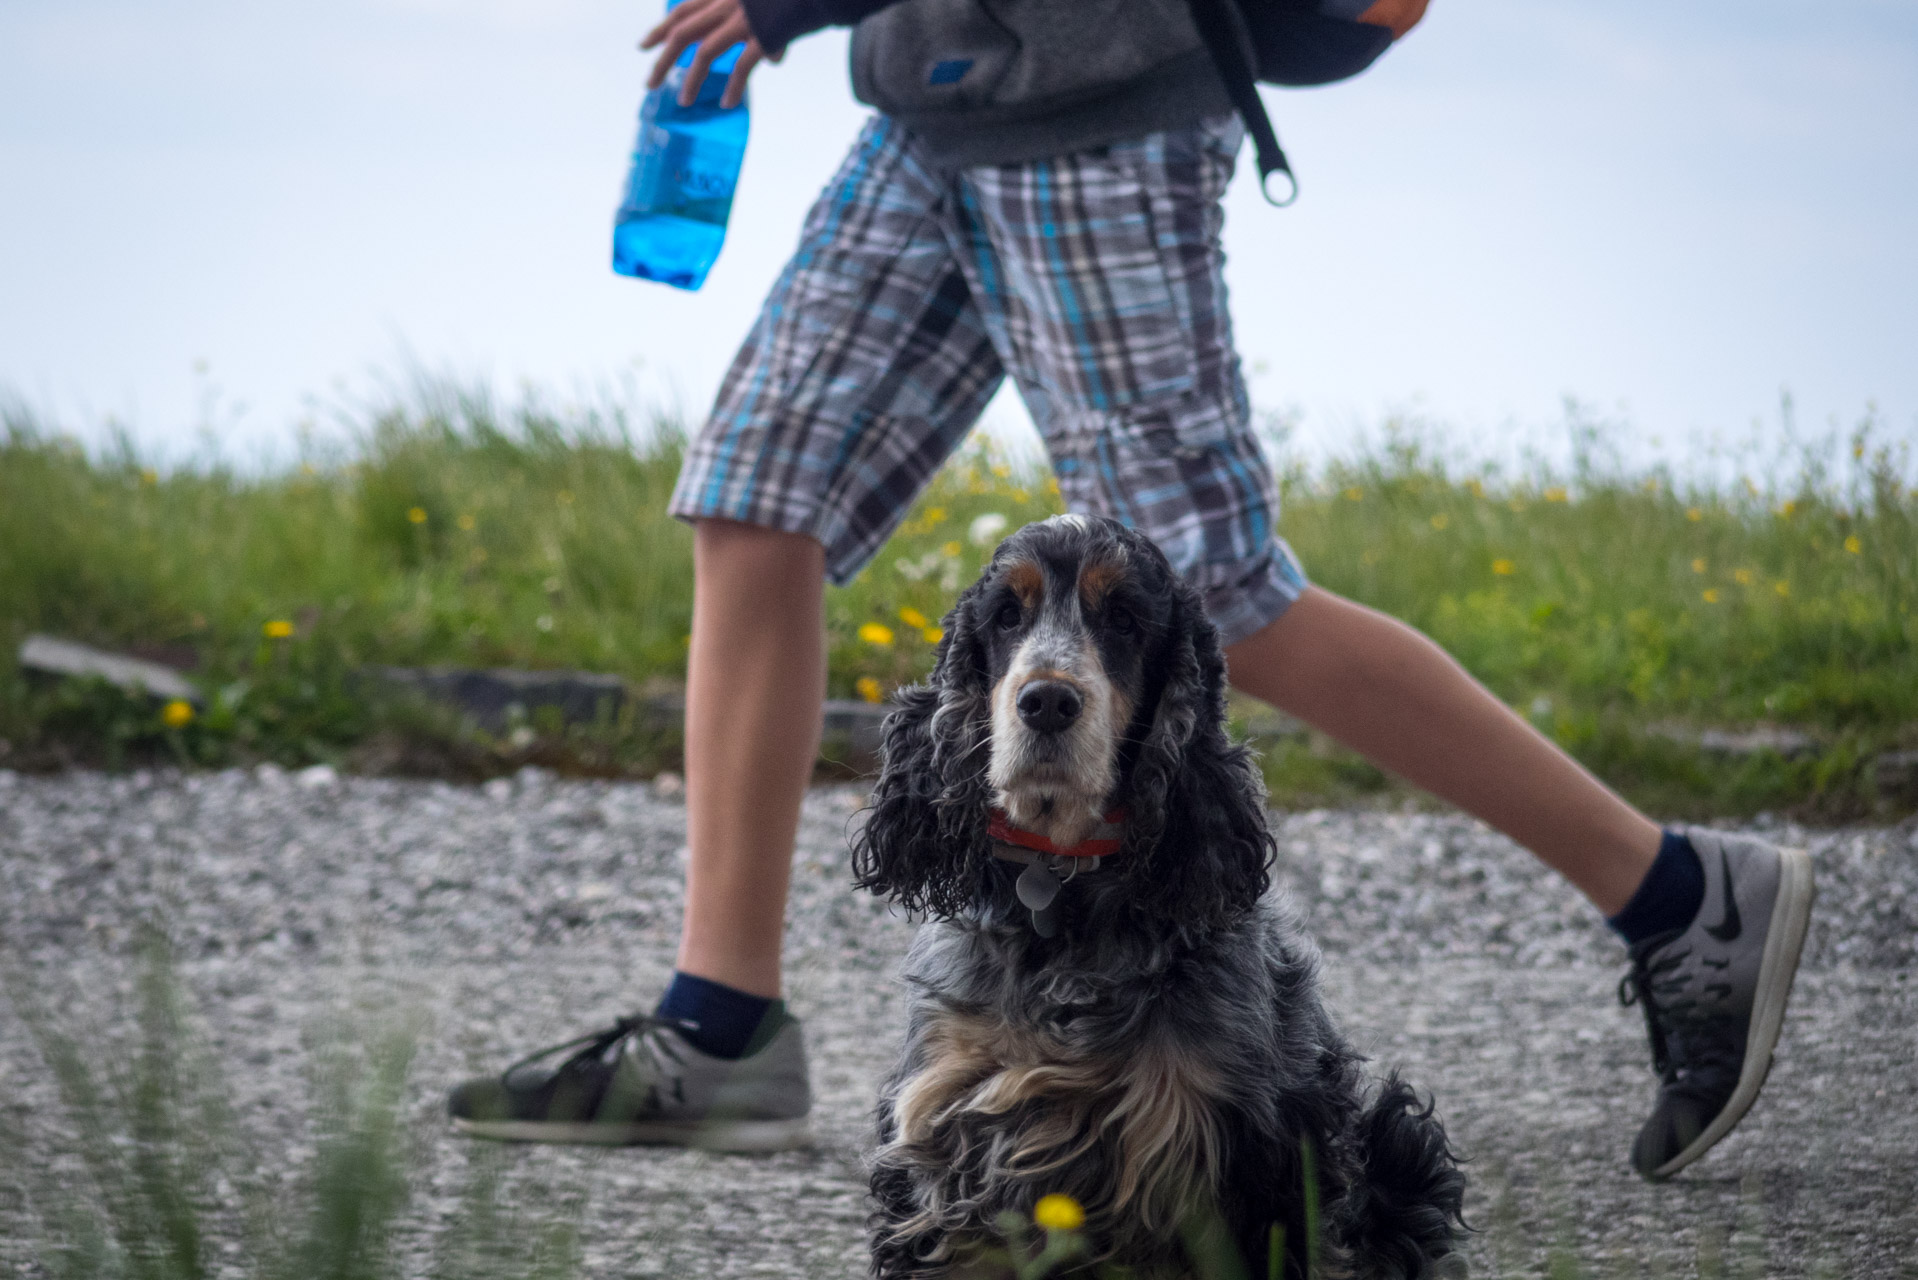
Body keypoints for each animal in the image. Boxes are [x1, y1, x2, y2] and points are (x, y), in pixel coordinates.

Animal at [847, 514, 1457, 1274]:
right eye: (1007, 615)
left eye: (1124, 618)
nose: (1047, 701)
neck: (1064, 902)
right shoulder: (940, 1143)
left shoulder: (1259, 1153)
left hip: (1400, 1144)